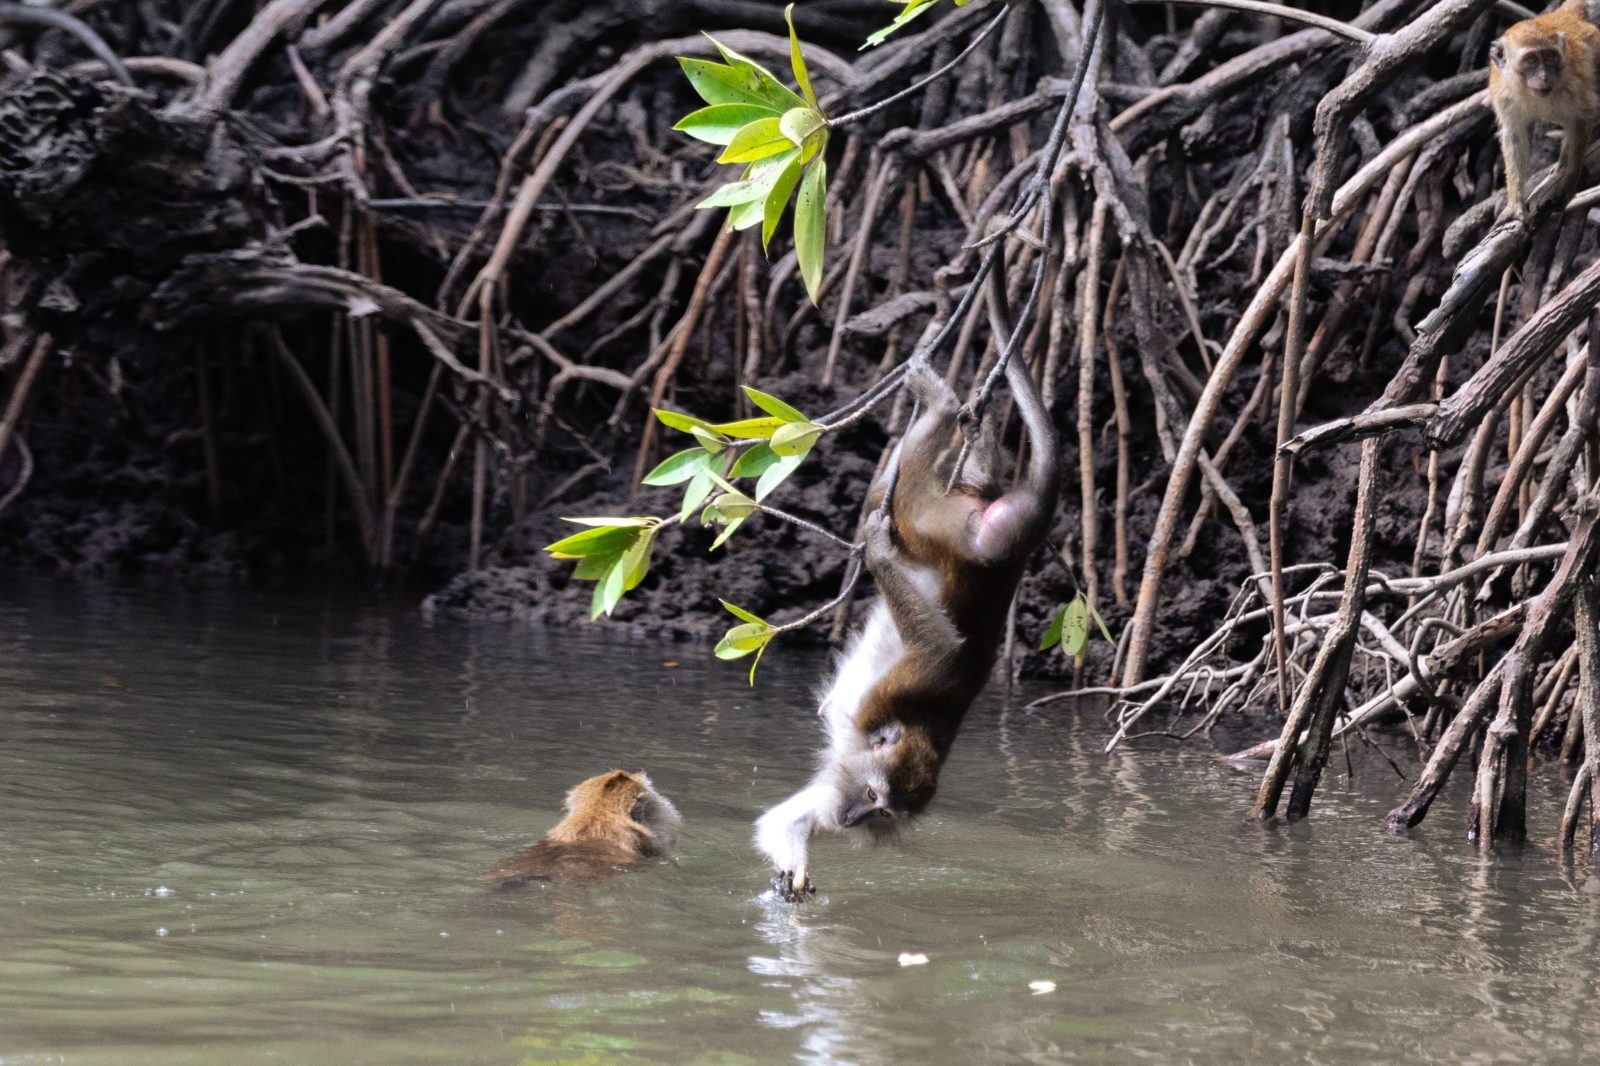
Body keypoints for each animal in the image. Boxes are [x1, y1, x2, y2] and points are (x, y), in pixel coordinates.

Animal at [754, 309, 1059, 903]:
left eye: (881, 813)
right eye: (875, 799)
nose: (852, 820)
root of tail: (1007, 555)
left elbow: (790, 820)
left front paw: (795, 875)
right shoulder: (890, 697)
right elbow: (942, 649)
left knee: (924, 487)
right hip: (942, 522)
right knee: (911, 487)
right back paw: (939, 412)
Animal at [1489, 0, 1600, 217]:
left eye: (1550, 57)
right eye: (1531, 59)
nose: (1543, 77)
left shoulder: (1572, 86)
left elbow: (1582, 118)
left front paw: (1568, 182)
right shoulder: (1502, 93)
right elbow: (1514, 134)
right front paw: (1515, 203)